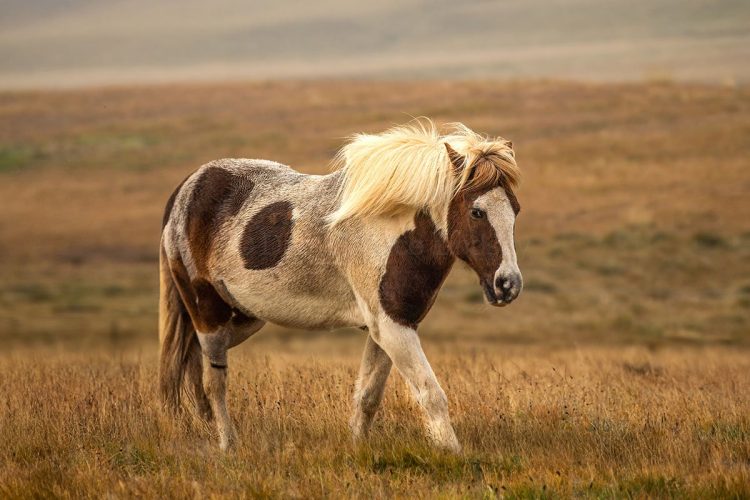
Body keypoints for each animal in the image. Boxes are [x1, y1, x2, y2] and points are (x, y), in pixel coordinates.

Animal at [158, 119, 522, 452]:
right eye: (477, 212)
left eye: (515, 210)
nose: (508, 285)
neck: (390, 230)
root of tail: (185, 190)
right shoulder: (392, 328)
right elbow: (431, 393)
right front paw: (453, 454)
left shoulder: (392, 326)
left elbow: (368, 396)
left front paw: (358, 447)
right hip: (208, 314)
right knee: (214, 381)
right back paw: (228, 445)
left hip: (245, 317)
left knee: (195, 362)